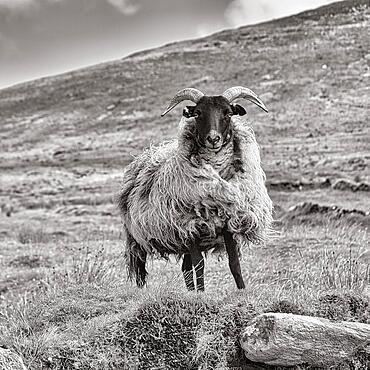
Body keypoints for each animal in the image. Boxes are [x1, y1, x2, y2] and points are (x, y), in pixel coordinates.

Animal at [117, 86, 274, 292]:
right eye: (198, 113)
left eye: (228, 113)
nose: (213, 139)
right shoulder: (188, 226)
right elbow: (199, 264)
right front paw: (202, 294)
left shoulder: (227, 223)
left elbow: (234, 263)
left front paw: (242, 291)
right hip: (138, 236)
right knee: (140, 268)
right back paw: (143, 290)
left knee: (185, 267)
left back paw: (190, 292)